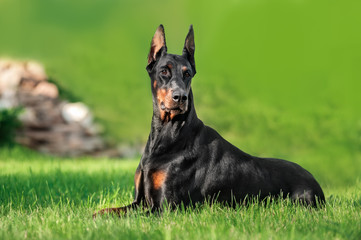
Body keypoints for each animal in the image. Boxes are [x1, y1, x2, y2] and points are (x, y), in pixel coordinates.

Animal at [93, 24, 324, 218]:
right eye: (164, 71)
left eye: (187, 74)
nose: (180, 97)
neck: (168, 135)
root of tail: (317, 184)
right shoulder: (139, 200)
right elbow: (111, 210)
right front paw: (95, 215)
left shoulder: (166, 207)